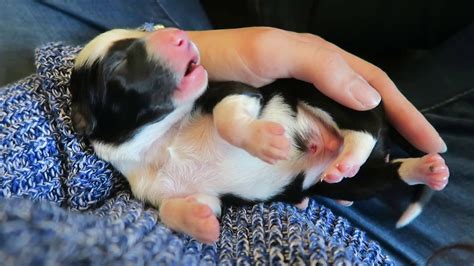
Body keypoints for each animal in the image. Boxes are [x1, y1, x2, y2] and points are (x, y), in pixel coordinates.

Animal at [69, 28, 448, 243]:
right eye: (117, 65)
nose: (180, 35)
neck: (164, 139)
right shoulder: (171, 192)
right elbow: (171, 211)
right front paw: (202, 225)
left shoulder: (237, 91)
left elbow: (227, 119)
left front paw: (268, 141)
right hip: (339, 184)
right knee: (384, 175)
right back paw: (427, 170)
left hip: (325, 90)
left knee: (363, 126)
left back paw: (353, 152)